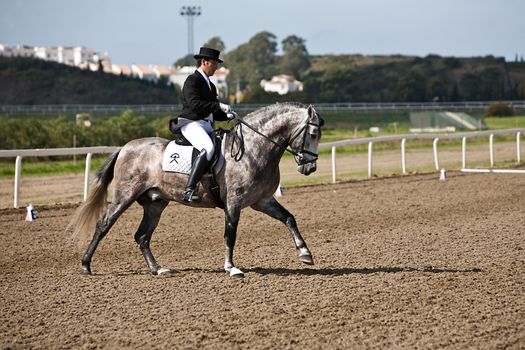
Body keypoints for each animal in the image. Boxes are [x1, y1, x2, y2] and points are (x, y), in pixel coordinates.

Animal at [71, 102, 322, 278]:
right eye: (312, 134)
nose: (310, 167)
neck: (253, 149)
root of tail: (125, 147)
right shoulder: (234, 202)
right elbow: (230, 234)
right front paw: (231, 268)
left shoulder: (263, 200)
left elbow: (289, 218)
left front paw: (305, 254)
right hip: (124, 196)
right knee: (103, 225)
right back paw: (85, 266)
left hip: (155, 203)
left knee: (142, 236)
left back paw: (158, 269)